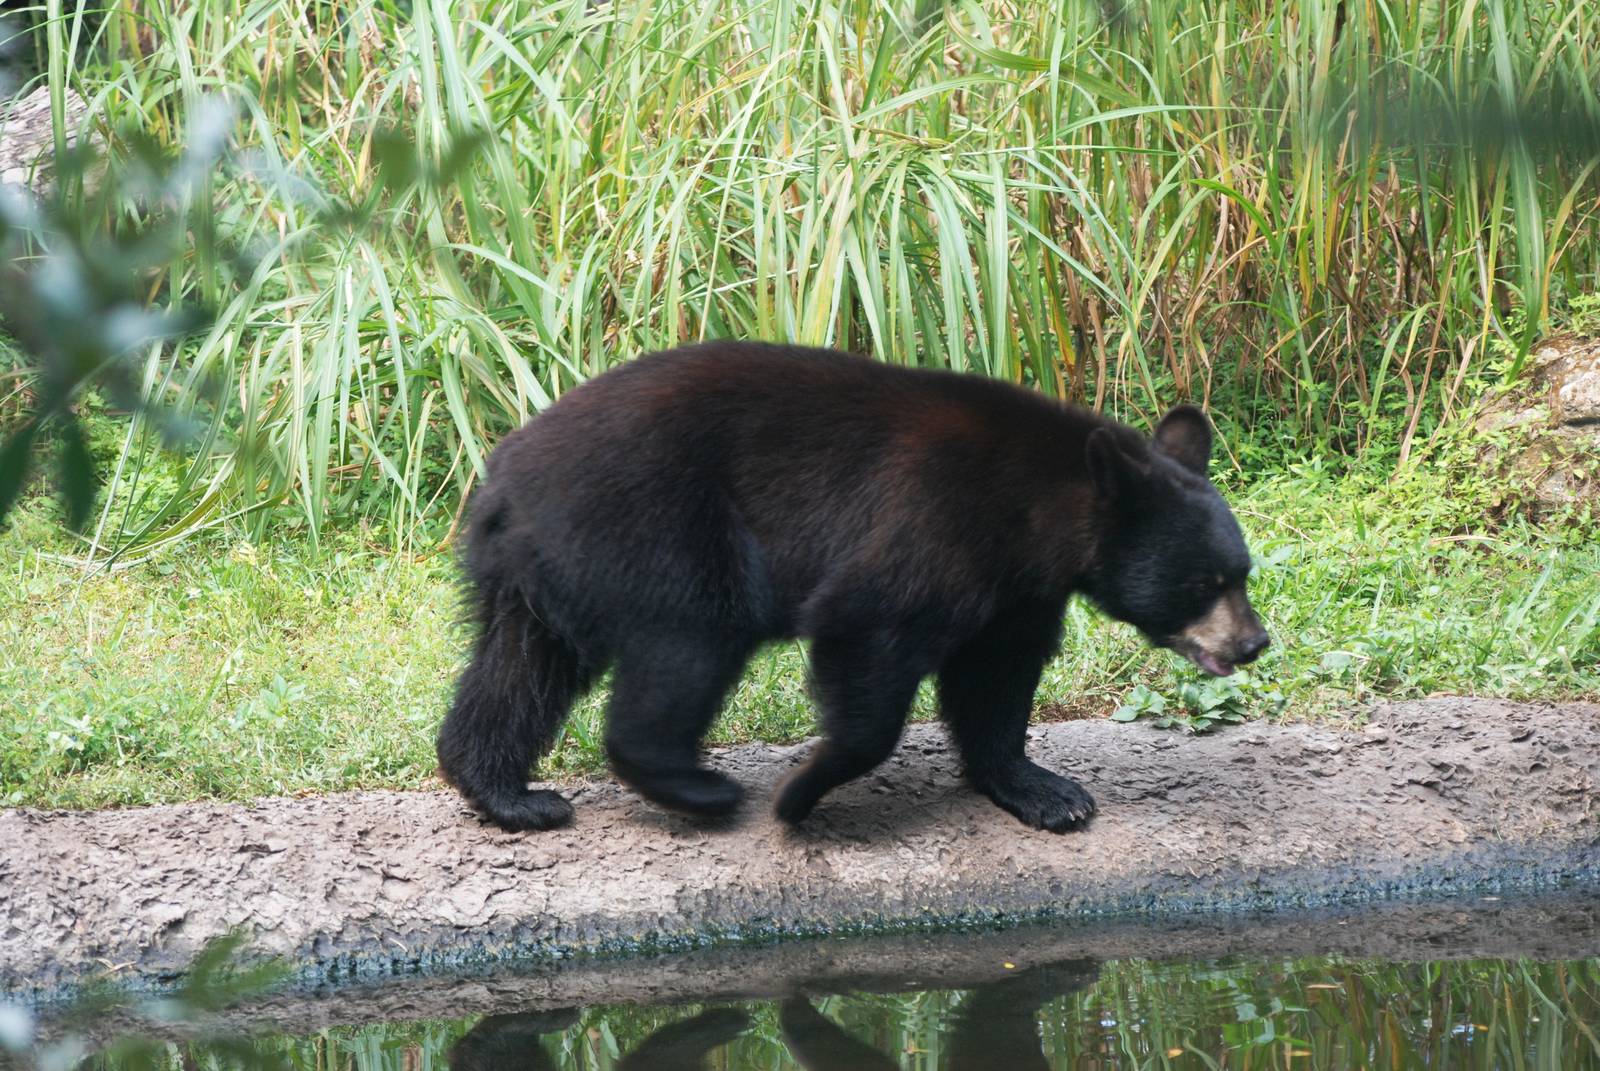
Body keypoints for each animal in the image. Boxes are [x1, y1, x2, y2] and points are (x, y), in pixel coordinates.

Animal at [437, 341, 1269, 834]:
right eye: (1206, 580)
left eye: (1244, 572)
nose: (1254, 641)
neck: (1036, 511)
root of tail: (500, 481)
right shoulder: (931, 519)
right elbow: (871, 630)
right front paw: (802, 791)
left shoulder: (1017, 588)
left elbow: (997, 676)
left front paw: (1048, 791)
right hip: (656, 523)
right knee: (693, 637)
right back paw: (700, 789)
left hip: (541, 575)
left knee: (519, 669)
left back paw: (512, 795)